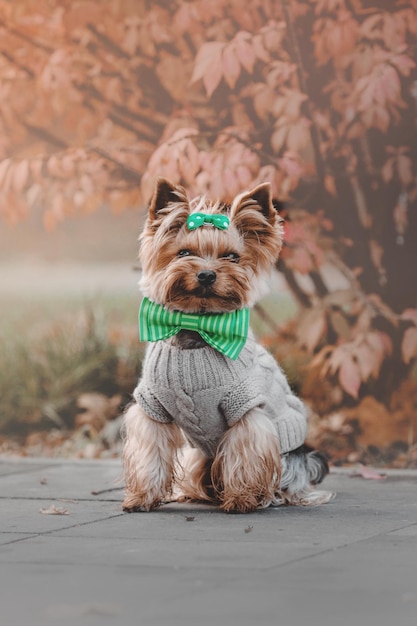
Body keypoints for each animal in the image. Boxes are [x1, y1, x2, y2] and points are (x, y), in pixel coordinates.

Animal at [122, 176, 334, 512]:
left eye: (231, 257)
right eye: (184, 253)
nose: (207, 275)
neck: (197, 326)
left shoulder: (244, 407)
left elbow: (245, 452)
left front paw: (242, 498)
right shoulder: (151, 406)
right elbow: (150, 452)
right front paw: (142, 497)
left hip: (288, 456)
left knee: (285, 479)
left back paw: (271, 495)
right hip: (198, 455)